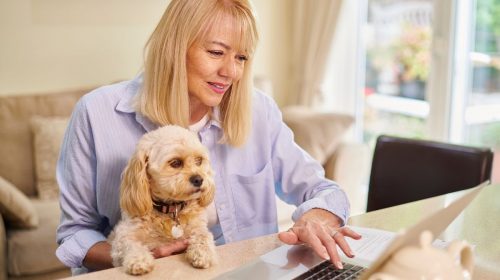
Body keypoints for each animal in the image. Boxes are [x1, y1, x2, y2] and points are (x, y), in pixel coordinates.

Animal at [109, 126, 217, 274]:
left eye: (199, 160)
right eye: (175, 163)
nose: (199, 179)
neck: (171, 210)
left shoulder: (197, 228)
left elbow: (203, 236)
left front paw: (203, 253)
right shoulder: (122, 238)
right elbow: (131, 244)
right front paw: (139, 259)